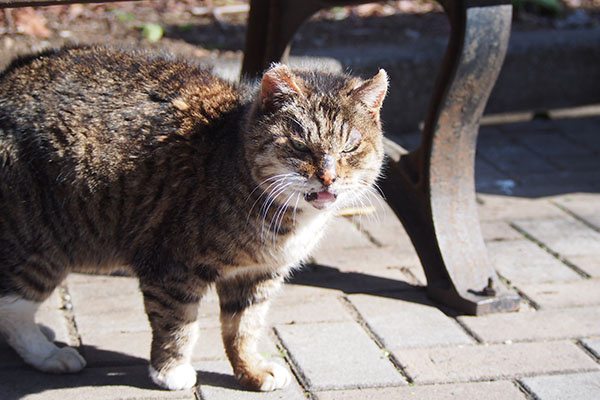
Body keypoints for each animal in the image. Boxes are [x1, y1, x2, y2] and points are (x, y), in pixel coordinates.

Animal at [0, 46, 390, 390]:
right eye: (299, 145)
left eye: (350, 147)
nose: (328, 177)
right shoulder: (171, 268)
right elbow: (178, 325)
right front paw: (171, 371)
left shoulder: (256, 276)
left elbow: (243, 328)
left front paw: (250, 370)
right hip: (38, 245)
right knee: (13, 310)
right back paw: (48, 355)